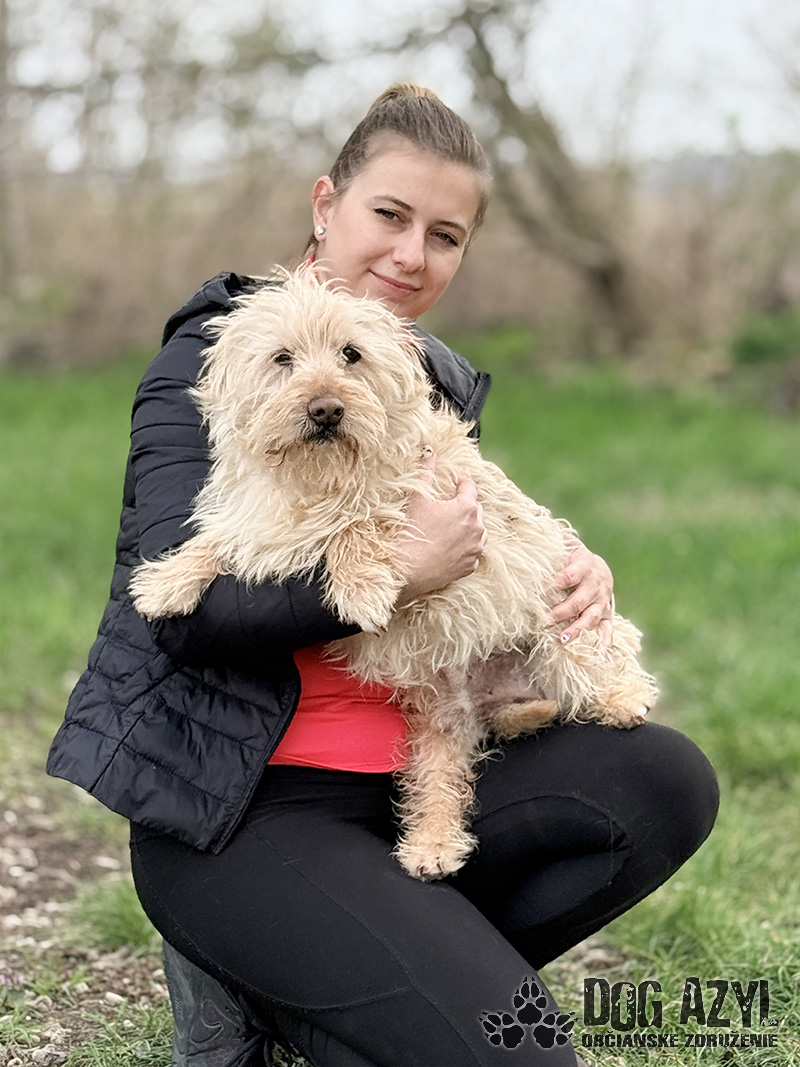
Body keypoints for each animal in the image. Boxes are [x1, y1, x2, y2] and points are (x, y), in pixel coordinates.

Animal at [130, 265, 658, 880]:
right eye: (282, 358)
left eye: (351, 354)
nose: (326, 408)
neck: (321, 476)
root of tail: (496, 698)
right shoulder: (264, 521)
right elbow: (219, 539)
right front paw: (166, 583)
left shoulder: (420, 495)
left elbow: (358, 524)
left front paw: (360, 587)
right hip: (439, 706)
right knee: (442, 775)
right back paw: (433, 845)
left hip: (558, 630)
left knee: (603, 663)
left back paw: (622, 699)